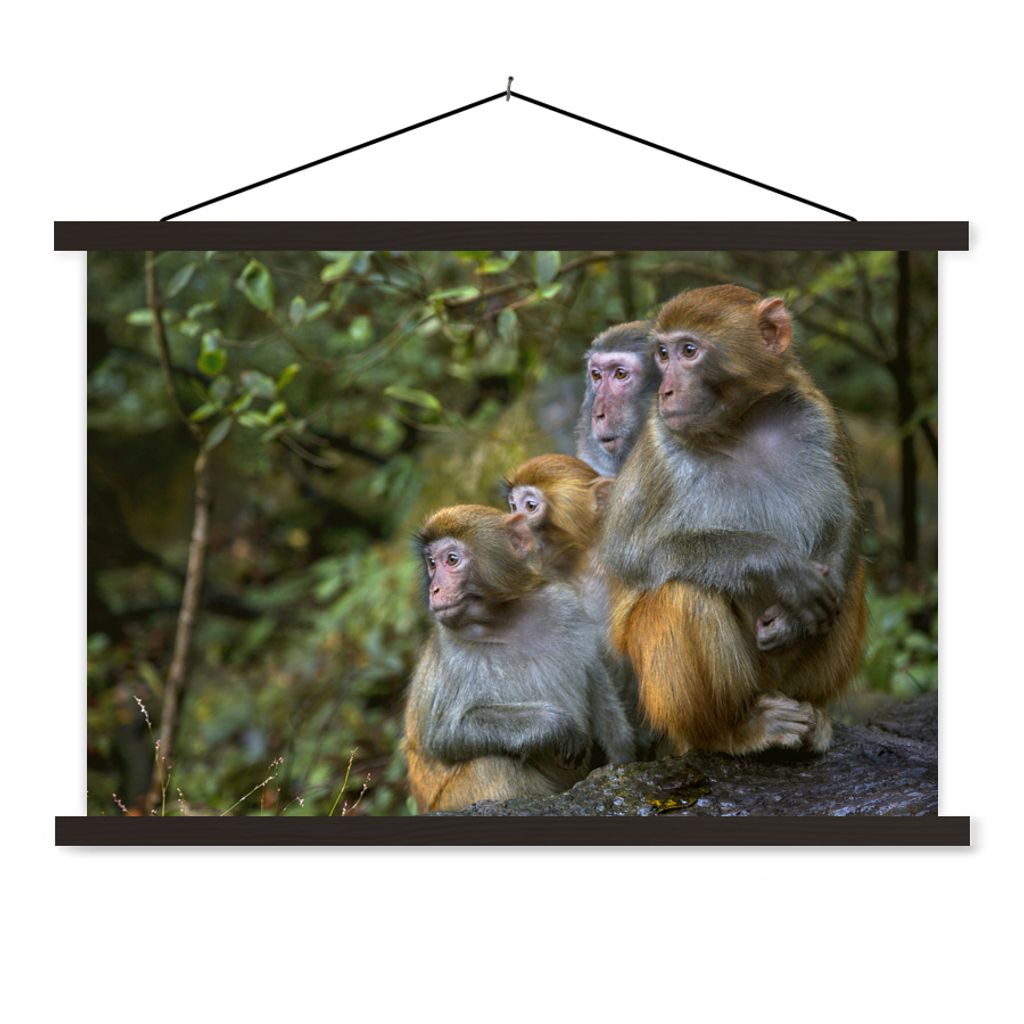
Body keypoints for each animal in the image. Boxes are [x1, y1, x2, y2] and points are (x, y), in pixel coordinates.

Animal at [403, 504, 634, 812]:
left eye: (451, 560)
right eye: (432, 564)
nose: (434, 589)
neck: (505, 620)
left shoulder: (565, 605)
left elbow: (594, 678)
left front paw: (623, 759)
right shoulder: (451, 650)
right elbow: (445, 735)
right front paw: (554, 725)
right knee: (494, 766)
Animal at [601, 284, 867, 756]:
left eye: (689, 351)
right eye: (663, 353)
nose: (666, 391)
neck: (739, 425)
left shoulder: (817, 414)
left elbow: (845, 517)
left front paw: (794, 616)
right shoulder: (659, 446)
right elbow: (632, 555)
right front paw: (775, 565)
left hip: (785, 677)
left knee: (848, 581)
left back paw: (813, 711)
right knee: (683, 590)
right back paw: (732, 731)